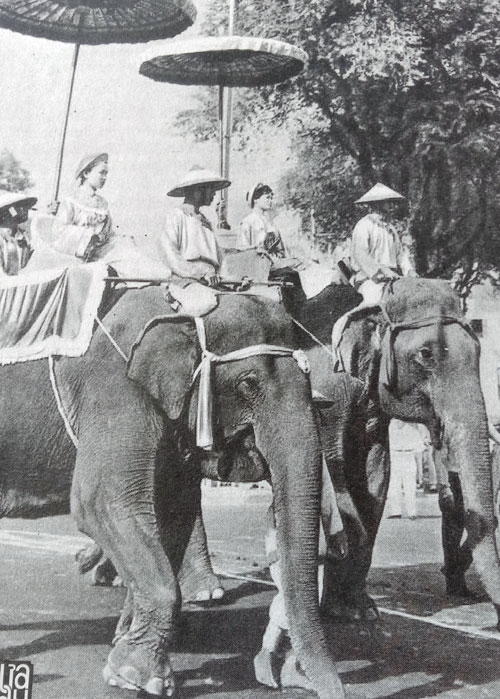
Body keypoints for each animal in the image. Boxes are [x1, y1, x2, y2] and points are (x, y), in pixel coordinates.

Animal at [0, 285, 347, 699]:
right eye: (248, 384)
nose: (288, 677)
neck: (186, 308)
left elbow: (172, 509)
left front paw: (125, 642)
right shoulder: (117, 387)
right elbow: (100, 502)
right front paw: (137, 678)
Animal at [281, 275, 500, 624]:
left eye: (478, 351)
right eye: (426, 354)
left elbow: (376, 476)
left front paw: (359, 612)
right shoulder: (325, 391)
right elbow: (335, 470)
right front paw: (346, 608)